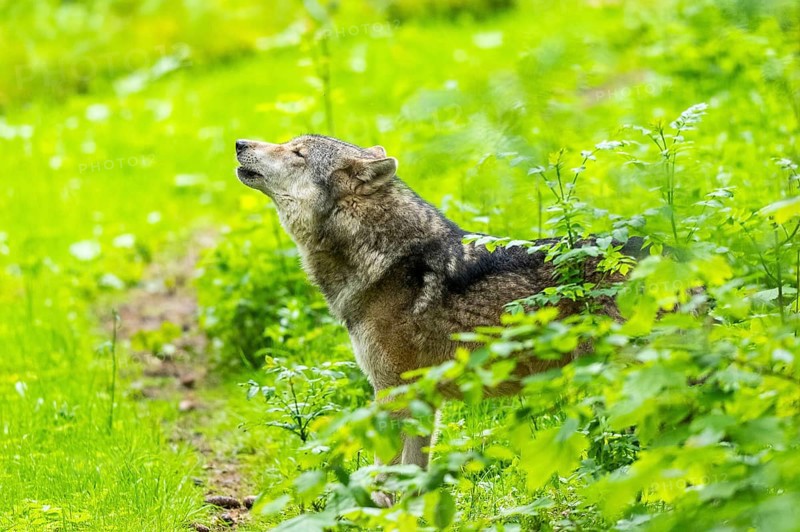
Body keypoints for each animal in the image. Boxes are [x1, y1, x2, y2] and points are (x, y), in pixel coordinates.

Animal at [235, 134, 640, 487]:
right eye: (288, 143)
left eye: (296, 152)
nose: (239, 143)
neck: (385, 261)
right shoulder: (421, 401)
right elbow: (413, 478)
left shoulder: (393, 394)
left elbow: (385, 476)